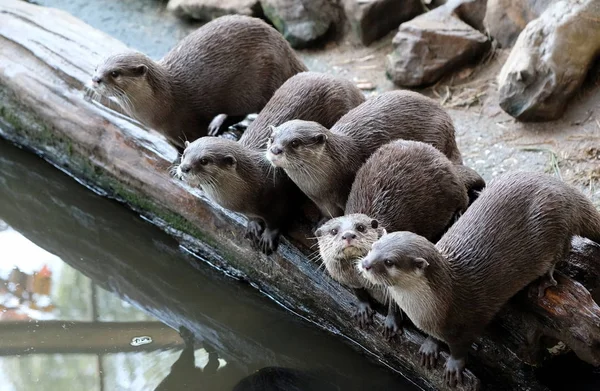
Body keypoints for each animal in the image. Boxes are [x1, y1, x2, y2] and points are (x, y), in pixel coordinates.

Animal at [91, 15, 308, 150]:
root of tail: (288, 52)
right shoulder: (169, 134)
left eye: (115, 73)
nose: (95, 79)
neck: (166, 102)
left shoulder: (190, 122)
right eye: (97, 67)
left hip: (257, 85)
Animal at [176, 72, 366, 254]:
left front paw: (268, 237)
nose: (184, 168)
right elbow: (252, 217)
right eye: (184, 154)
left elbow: (277, 220)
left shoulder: (279, 198)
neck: (252, 184)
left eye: (204, 160)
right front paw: (253, 225)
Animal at [264, 90, 486, 222]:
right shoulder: (320, 201)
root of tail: (449, 124)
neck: (322, 186)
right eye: (272, 138)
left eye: (294, 143)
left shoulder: (345, 189)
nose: (275, 150)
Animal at [314, 142, 468, 338]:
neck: (363, 278)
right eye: (334, 231)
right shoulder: (347, 279)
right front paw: (363, 309)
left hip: (452, 185)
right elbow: (358, 292)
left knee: (464, 197)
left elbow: (396, 304)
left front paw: (391, 323)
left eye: (360, 227)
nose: (348, 235)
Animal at [356, 173, 600, 388]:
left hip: (554, 222)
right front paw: (430, 345)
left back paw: (543, 281)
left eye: (389, 261)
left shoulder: (467, 322)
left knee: (562, 249)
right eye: (373, 246)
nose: (365, 264)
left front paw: (453, 366)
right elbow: (434, 337)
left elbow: (460, 347)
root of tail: (565, 190)